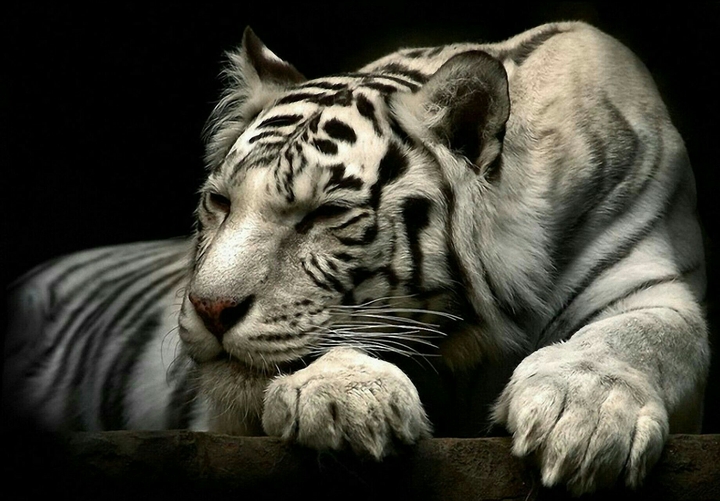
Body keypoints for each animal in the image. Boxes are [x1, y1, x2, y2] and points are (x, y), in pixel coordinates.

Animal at [3, 21, 709, 495]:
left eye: (323, 214)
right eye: (220, 202)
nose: (209, 308)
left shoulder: (652, 280)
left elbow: (642, 337)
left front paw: (584, 417)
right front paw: (346, 398)